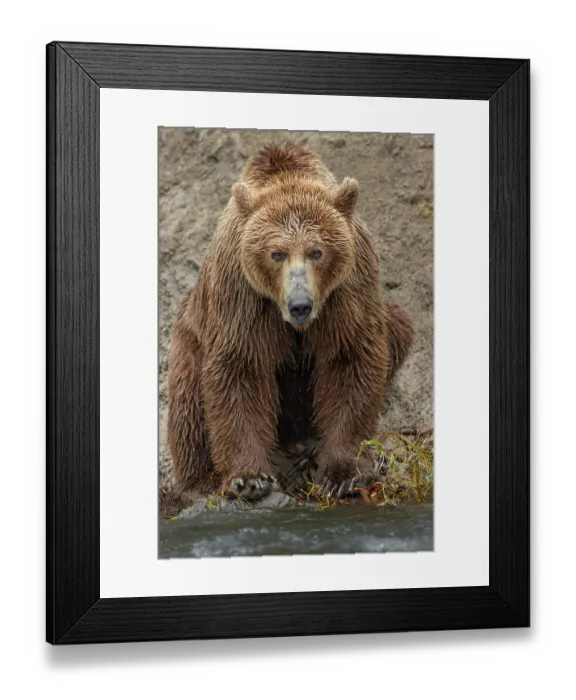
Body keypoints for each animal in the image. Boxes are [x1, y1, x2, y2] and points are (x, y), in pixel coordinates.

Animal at [167, 142, 414, 502]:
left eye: (316, 251)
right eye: (276, 253)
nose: (300, 305)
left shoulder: (347, 290)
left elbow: (350, 360)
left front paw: (341, 473)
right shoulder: (243, 295)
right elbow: (240, 370)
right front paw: (250, 478)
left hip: (387, 316)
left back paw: (312, 455)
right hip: (191, 332)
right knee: (188, 402)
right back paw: (200, 483)